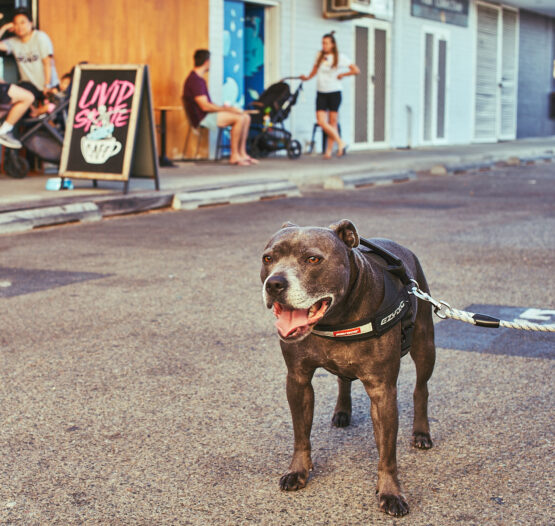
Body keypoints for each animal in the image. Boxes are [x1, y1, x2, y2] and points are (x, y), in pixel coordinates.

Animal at [262, 220, 438, 520]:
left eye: (313, 259)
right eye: (268, 259)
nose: (274, 283)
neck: (336, 318)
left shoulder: (382, 391)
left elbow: (387, 452)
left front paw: (390, 492)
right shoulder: (298, 380)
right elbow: (301, 434)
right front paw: (298, 470)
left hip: (425, 345)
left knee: (421, 389)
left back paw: (421, 433)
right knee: (343, 380)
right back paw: (342, 411)